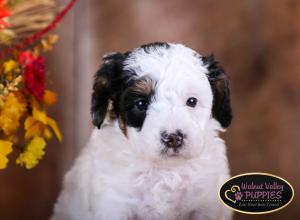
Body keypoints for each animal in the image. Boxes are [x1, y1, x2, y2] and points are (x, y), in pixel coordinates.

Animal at [51, 42, 233, 219]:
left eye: (192, 101)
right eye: (140, 104)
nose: (173, 138)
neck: (165, 171)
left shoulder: (206, 204)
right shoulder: (115, 203)